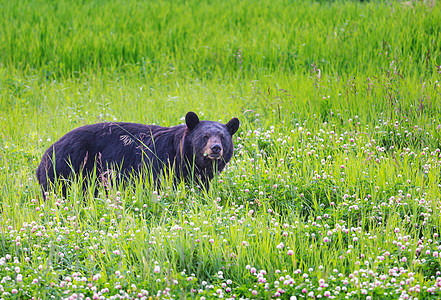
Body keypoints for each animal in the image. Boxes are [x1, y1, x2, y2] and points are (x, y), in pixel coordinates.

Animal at [36, 112, 239, 197]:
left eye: (223, 137)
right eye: (205, 136)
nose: (216, 148)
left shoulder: (200, 176)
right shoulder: (159, 164)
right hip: (65, 168)